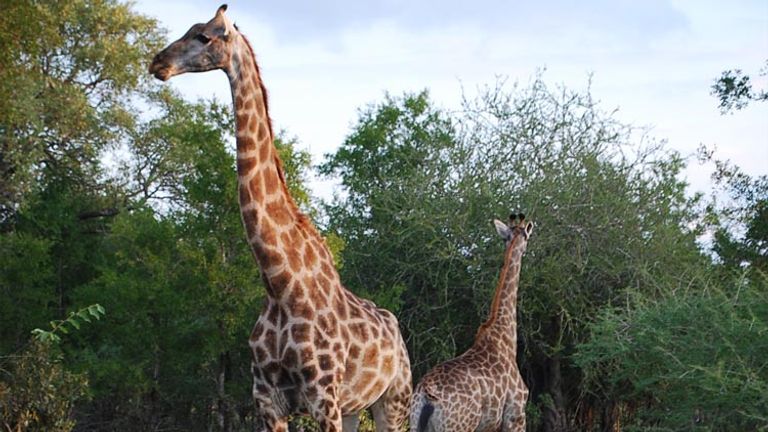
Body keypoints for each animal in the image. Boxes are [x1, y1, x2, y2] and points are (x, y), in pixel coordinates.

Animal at [149, 5, 412, 431]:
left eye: (205, 36)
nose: (159, 63)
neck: (280, 283)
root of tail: (397, 332)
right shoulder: (267, 400)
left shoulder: (323, 398)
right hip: (354, 407)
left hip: (393, 399)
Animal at [409, 213, 532, 432]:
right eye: (527, 236)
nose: (527, 251)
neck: (505, 335)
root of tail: (426, 396)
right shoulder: (516, 416)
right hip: (457, 426)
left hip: (414, 422)